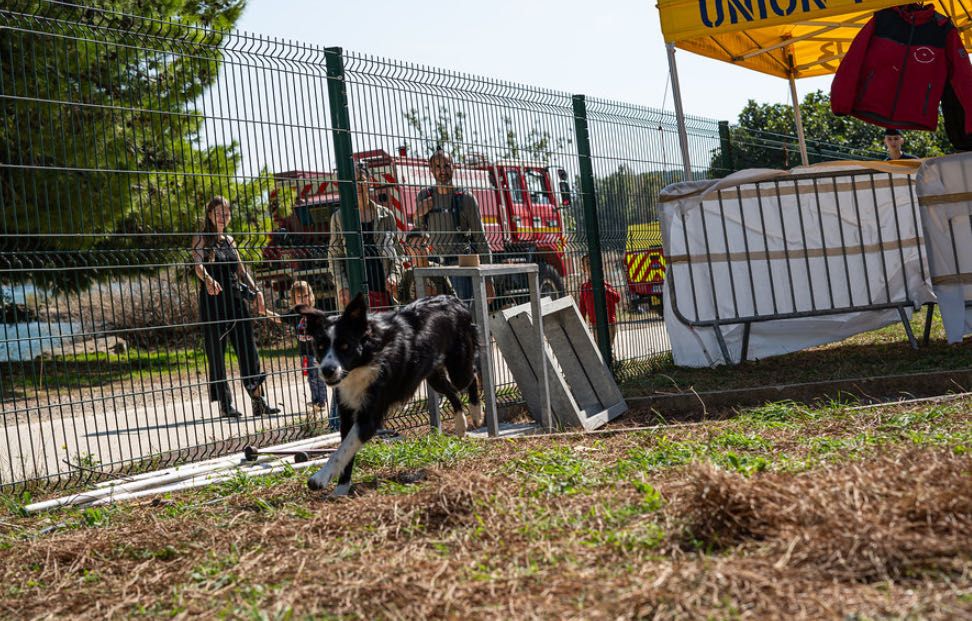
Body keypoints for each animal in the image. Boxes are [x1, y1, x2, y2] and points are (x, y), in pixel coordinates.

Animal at [294, 292, 480, 494]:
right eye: (320, 347)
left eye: (345, 346)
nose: (327, 370)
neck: (364, 362)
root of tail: (453, 299)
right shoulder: (347, 413)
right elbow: (346, 452)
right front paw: (341, 490)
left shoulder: (370, 417)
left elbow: (340, 452)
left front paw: (319, 478)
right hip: (433, 376)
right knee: (452, 392)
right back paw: (461, 425)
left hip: (459, 368)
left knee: (472, 376)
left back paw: (476, 412)